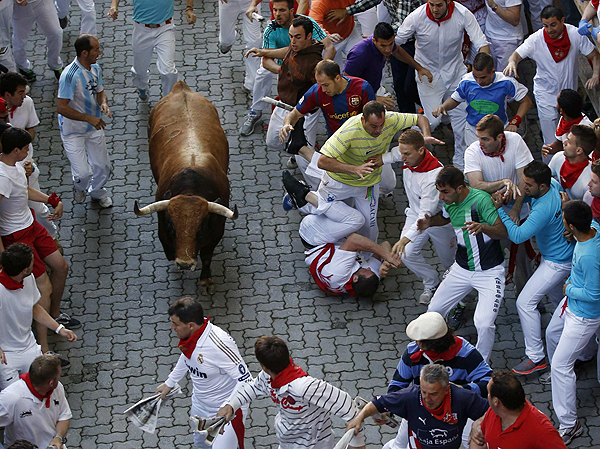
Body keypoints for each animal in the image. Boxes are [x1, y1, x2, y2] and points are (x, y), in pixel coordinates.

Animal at [134, 82, 237, 292]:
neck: (191, 187)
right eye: (172, 225)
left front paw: (205, 279)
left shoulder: (215, 232)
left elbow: (206, 256)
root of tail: (180, 87)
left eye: (200, 227)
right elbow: (167, 246)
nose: (184, 263)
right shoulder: (162, 227)